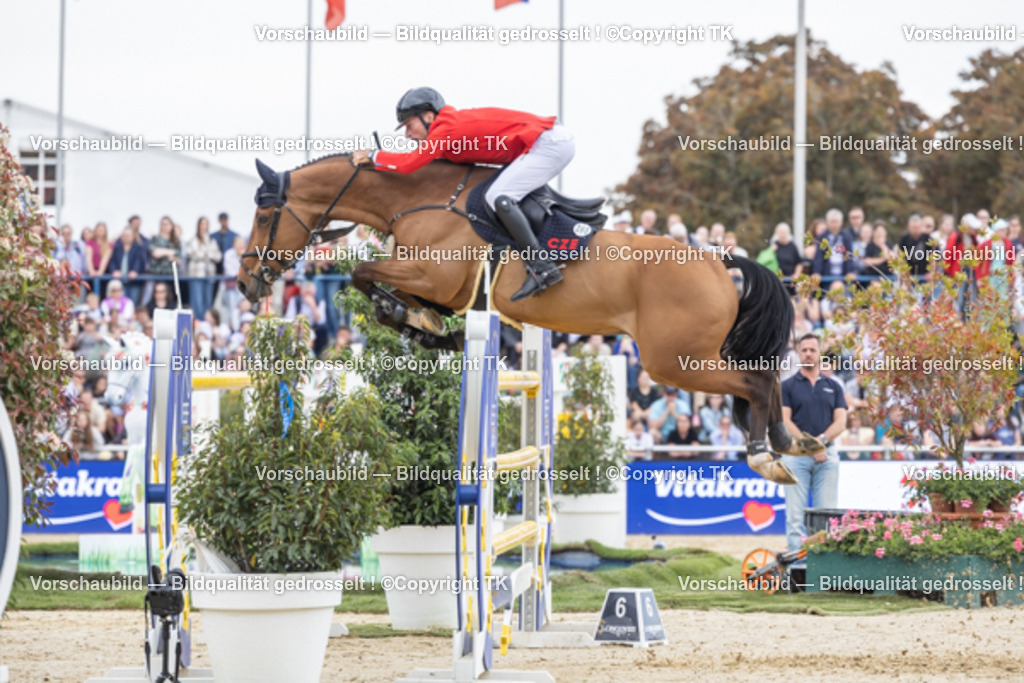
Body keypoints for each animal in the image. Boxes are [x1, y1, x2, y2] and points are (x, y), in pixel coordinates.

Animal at [236, 154, 822, 483]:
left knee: (755, 382)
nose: (245, 283)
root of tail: (719, 260)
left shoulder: (434, 275)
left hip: (672, 362)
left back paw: (766, 454)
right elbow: (392, 293)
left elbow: (363, 273)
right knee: (762, 379)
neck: (423, 199)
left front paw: (410, 319)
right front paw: (427, 328)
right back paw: (792, 442)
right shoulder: (444, 288)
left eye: (264, 214)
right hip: (691, 356)